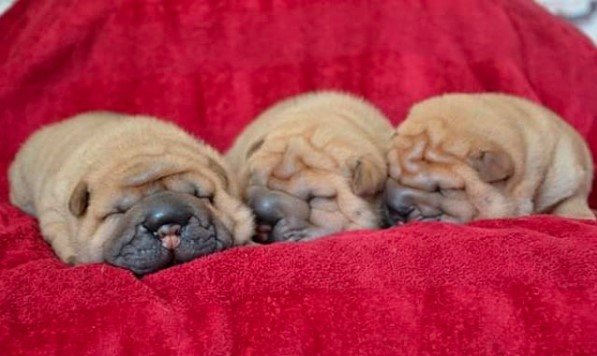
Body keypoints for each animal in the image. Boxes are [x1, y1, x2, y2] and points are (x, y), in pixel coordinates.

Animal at [382, 93, 592, 224]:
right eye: (389, 176)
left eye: (443, 190)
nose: (395, 208)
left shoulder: (570, 176)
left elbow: (571, 201)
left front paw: (582, 216)